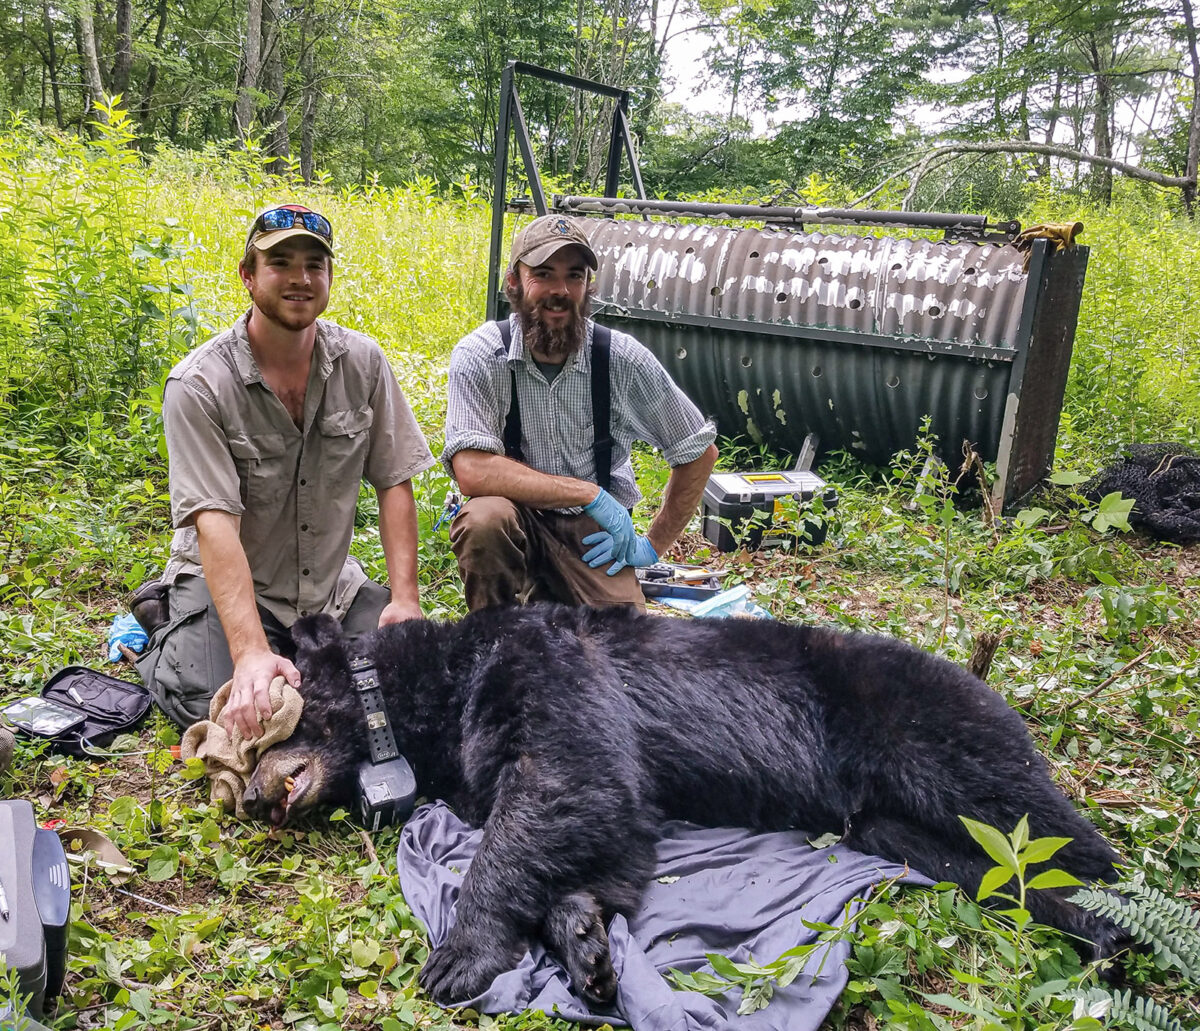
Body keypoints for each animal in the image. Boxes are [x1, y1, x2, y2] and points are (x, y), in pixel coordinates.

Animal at [241, 604, 1123, 1008]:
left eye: (270, 718)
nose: (249, 795)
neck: (436, 686)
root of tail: (987, 682)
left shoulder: (548, 664)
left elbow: (571, 778)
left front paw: (460, 954)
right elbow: (610, 830)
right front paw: (585, 939)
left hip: (924, 729)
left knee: (1046, 824)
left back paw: (1117, 910)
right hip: (893, 825)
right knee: (992, 865)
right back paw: (1096, 931)